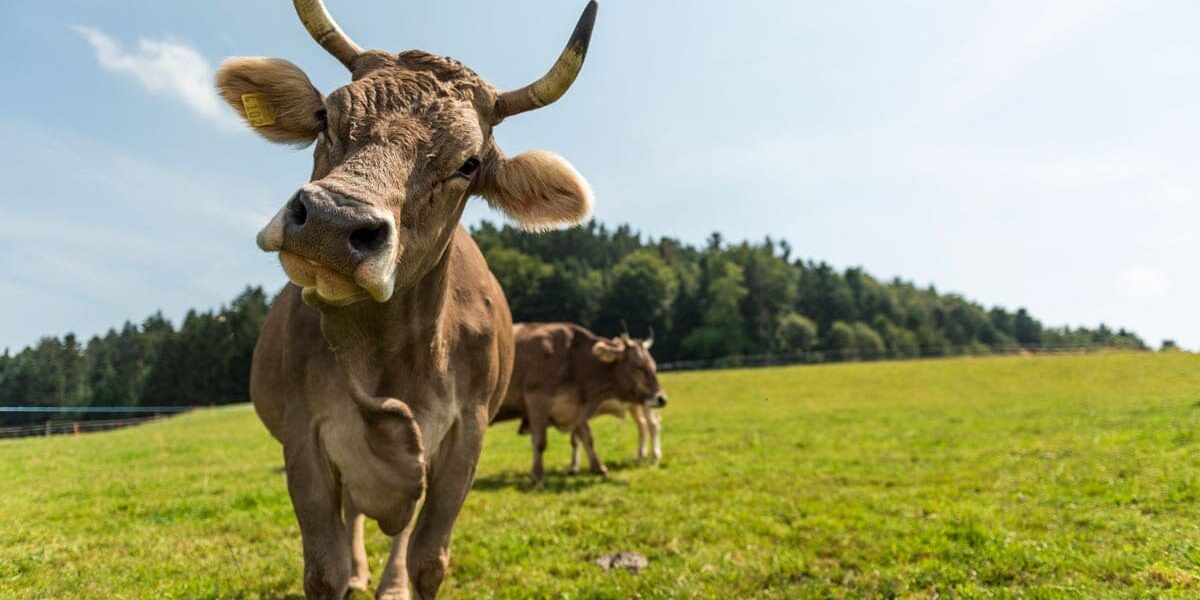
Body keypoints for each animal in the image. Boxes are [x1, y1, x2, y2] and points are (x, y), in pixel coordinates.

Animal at [214, 1, 599, 598]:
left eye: (468, 164)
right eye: (327, 115)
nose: (332, 222)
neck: (383, 354)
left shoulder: (465, 436)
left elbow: (428, 557)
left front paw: (403, 577)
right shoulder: (304, 437)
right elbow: (323, 569)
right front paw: (347, 572)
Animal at [493, 323, 668, 482]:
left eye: (653, 365)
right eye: (638, 367)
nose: (662, 398)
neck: (571, 358)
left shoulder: (577, 407)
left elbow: (586, 438)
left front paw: (597, 468)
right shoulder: (538, 402)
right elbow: (541, 442)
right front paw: (539, 475)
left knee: (650, 424)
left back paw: (650, 456)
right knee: (647, 424)